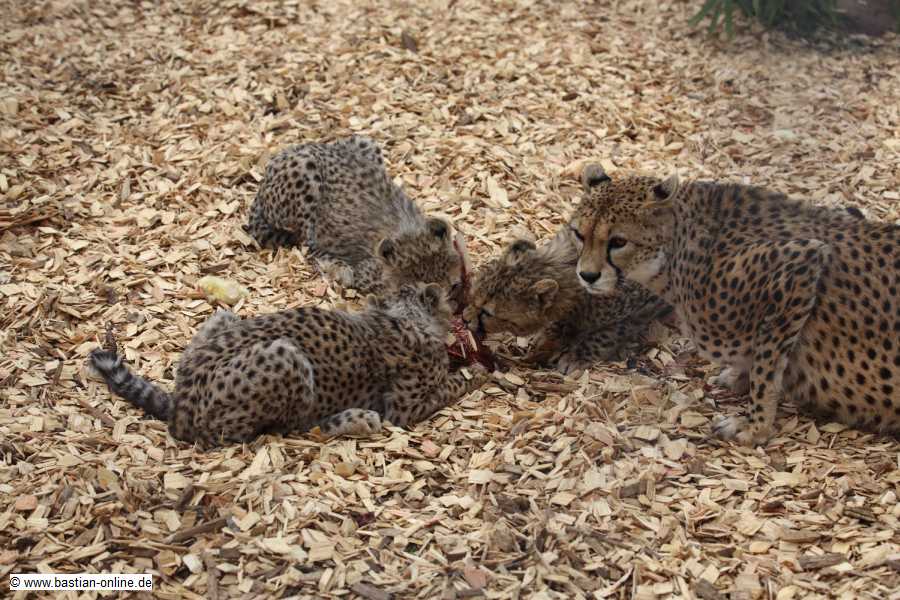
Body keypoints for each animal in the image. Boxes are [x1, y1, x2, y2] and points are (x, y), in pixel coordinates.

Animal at [87, 283, 487, 447]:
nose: (460, 312)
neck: (402, 318)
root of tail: (180, 409)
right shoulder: (404, 408)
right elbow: (448, 387)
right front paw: (478, 372)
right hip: (286, 358)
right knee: (289, 428)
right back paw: (355, 419)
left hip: (225, 319)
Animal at [244, 135, 468, 308]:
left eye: (454, 286)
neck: (407, 231)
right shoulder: (367, 274)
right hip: (305, 182)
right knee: (308, 243)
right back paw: (337, 266)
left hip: (366, 143)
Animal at [462, 225, 671, 374]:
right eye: (473, 298)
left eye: (487, 312)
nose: (464, 319)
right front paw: (550, 339)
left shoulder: (637, 311)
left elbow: (604, 335)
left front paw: (575, 356)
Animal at [569, 162, 900, 445]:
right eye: (579, 234)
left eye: (618, 241)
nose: (587, 275)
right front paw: (740, 378)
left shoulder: (800, 263)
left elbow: (767, 368)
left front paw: (755, 427)